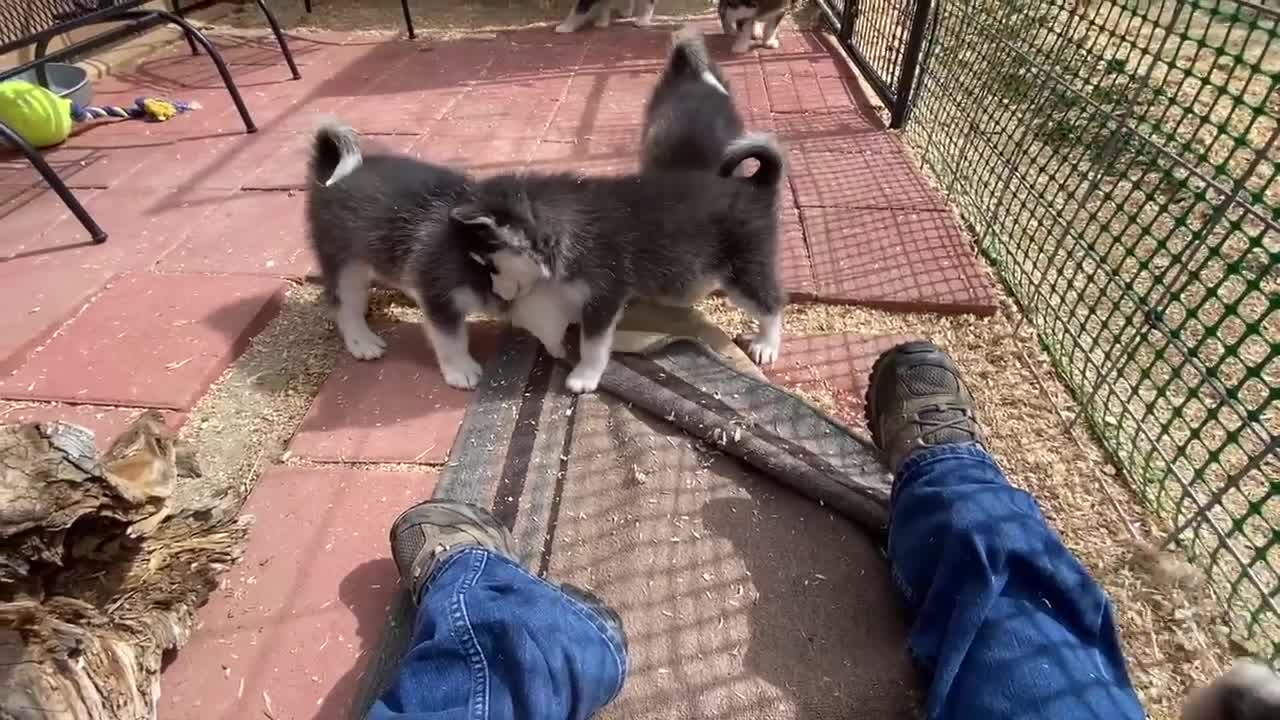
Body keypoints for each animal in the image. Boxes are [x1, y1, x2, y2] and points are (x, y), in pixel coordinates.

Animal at [305, 119, 504, 386]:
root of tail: (335, 172)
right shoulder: (438, 294)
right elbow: (451, 338)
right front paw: (461, 370)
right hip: (345, 264)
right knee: (345, 304)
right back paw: (362, 341)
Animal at [450, 133, 788, 392]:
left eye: (491, 266)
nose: (498, 295)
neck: (564, 226)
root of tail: (754, 186)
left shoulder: (605, 294)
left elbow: (593, 343)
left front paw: (585, 376)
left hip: (744, 268)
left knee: (771, 304)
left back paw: (767, 344)